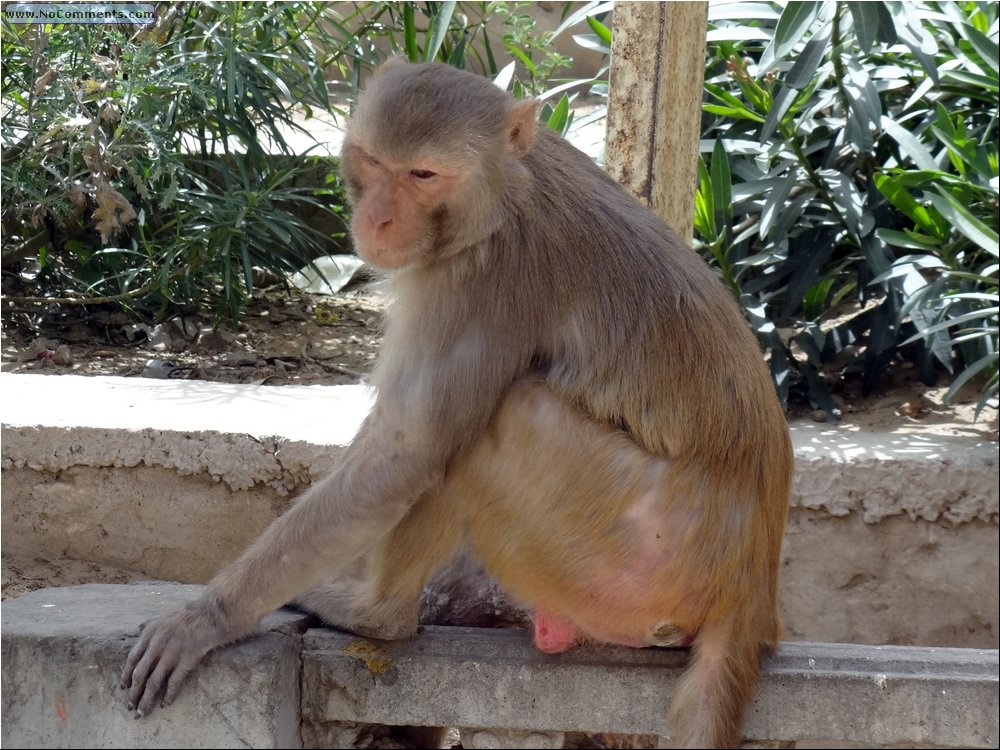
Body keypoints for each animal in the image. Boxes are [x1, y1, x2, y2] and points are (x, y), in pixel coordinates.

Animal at [121, 60, 792, 750]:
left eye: (422, 174)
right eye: (373, 160)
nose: (377, 220)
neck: (501, 193)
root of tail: (750, 593)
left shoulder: (477, 282)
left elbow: (406, 452)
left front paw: (208, 618)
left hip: (640, 558)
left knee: (493, 424)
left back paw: (378, 616)